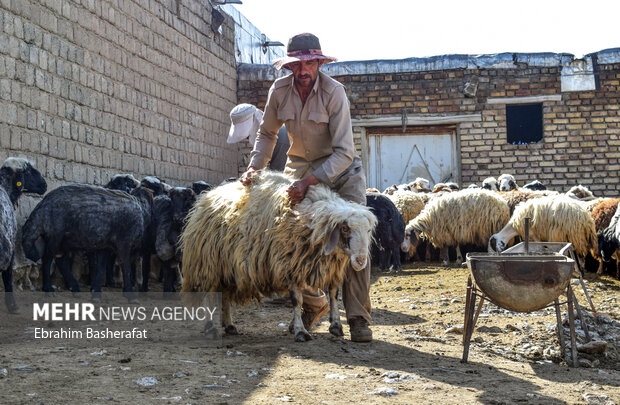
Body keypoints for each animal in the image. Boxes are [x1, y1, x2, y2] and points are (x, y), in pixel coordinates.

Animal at [177, 170, 376, 340]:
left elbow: (334, 296)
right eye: (345, 229)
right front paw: (300, 331)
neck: (311, 223)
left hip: (227, 267)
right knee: (208, 296)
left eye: (368, 230)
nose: (361, 261)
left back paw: (229, 325)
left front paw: (336, 326)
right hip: (207, 263)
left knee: (225, 295)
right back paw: (210, 327)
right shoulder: (290, 266)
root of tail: (208, 196)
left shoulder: (332, 267)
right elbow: (297, 301)